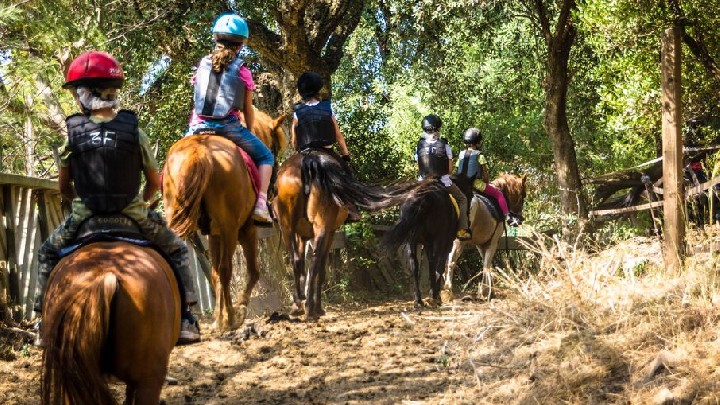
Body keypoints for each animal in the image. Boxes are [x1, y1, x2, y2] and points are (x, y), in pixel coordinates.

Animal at [163, 109, 286, 330]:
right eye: (274, 147)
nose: (273, 188)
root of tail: (200, 150)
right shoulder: (246, 230)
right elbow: (252, 272)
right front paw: (237, 310)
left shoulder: (214, 234)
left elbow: (214, 275)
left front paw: (218, 317)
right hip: (231, 229)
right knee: (227, 269)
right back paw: (231, 317)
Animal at [274, 148, 402, 318]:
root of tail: (309, 160)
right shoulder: (330, 231)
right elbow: (320, 267)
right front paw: (316, 306)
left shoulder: (307, 234)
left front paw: (305, 303)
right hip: (318, 227)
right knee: (314, 260)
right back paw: (308, 307)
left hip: (290, 227)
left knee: (300, 260)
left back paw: (301, 306)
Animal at [380, 178, 458, 308]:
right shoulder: (444, 243)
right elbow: (438, 266)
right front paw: (435, 295)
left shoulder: (427, 243)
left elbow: (430, 265)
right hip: (437, 240)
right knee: (436, 264)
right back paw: (433, 297)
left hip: (412, 240)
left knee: (414, 265)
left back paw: (419, 300)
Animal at [442, 172, 524, 302]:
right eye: (523, 196)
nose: (520, 219)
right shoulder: (493, 242)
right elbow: (486, 264)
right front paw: (486, 292)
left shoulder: (481, 244)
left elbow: (485, 262)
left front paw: (488, 290)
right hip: (458, 241)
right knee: (451, 261)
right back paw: (447, 290)